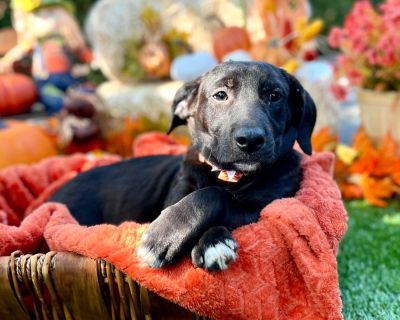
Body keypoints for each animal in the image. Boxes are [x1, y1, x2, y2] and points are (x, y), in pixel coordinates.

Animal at [50, 61, 318, 272]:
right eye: (220, 95)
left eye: (275, 96)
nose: (250, 140)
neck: (229, 175)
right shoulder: (178, 192)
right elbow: (205, 196)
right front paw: (170, 237)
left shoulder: (264, 207)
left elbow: (214, 196)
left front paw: (194, 240)